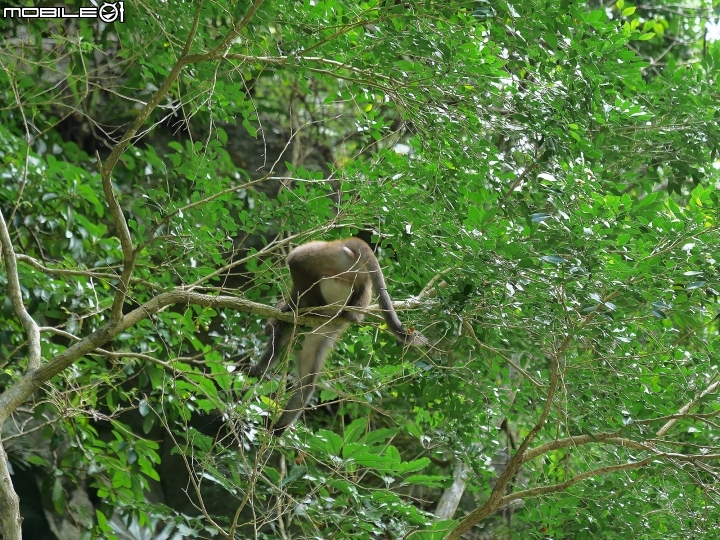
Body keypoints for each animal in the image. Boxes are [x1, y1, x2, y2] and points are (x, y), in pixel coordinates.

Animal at [249, 236, 428, 434]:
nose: (268, 330)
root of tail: (347, 241)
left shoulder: (282, 331)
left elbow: (269, 357)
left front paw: (253, 371)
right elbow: (305, 386)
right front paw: (277, 429)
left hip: (326, 255)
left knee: (296, 261)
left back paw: (308, 305)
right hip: (358, 274)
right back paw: (350, 315)